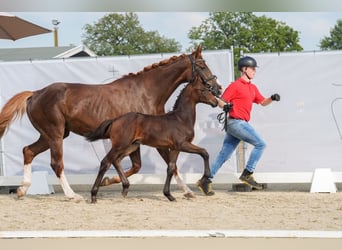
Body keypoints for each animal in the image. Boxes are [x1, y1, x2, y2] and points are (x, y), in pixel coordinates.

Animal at [87, 75, 218, 202]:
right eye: (203, 90)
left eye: (208, 89)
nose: (215, 102)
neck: (181, 119)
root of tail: (115, 120)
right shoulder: (182, 144)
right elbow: (204, 152)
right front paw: (204, 178)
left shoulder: (175, 148)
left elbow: (171, 168)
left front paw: (169, 195)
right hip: (120, 145)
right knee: (105, 162)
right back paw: (94, 196)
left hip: (131, 146)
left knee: (116, 161)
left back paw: (125, 188)